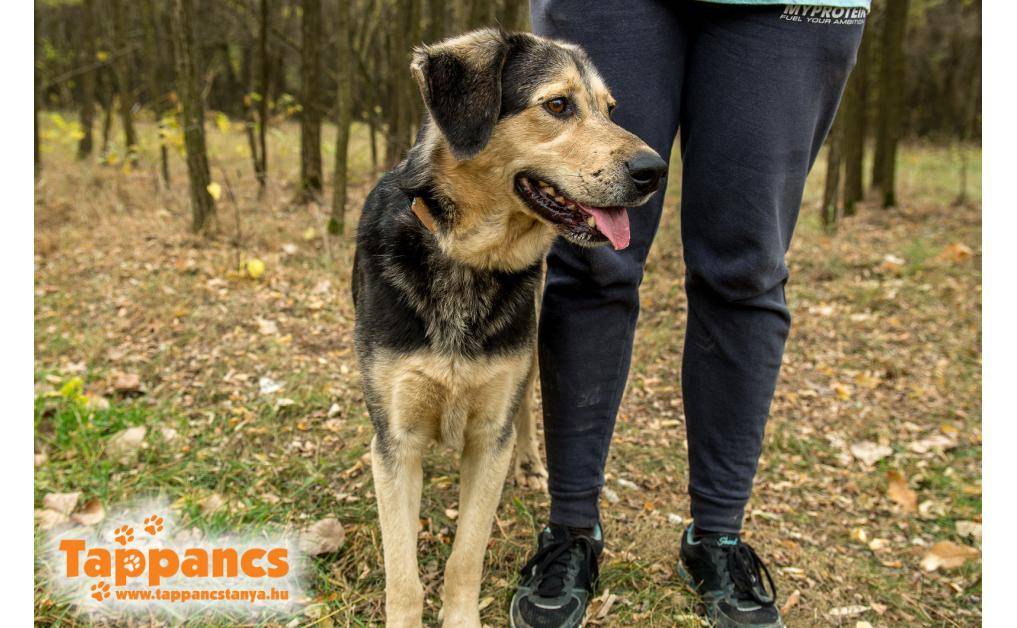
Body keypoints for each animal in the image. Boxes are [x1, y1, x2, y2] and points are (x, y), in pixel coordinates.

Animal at [352, 28, 666, 627]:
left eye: (610, 110)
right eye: (559, 105)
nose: (654, 172)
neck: (468, 259)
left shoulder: (488, 436)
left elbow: (465, 557)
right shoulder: (396, 443)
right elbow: (402, 573)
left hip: (530, 353)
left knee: (524, 409)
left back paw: (530, 463)